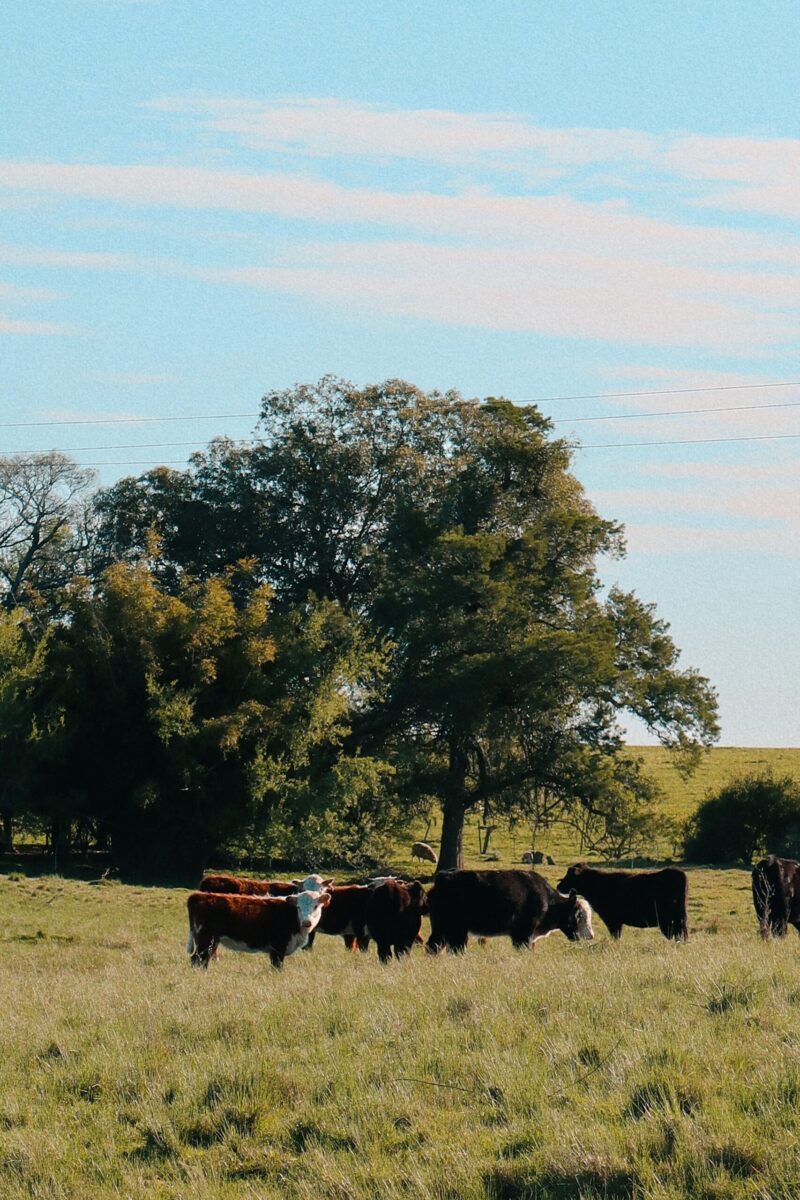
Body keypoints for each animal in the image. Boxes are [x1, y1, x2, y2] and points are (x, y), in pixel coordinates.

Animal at [186, 888, 330, 969]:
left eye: (316, 906)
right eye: (298, 907)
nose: (307, 922)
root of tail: (199, 895)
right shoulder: (278, 948)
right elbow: (277, 967)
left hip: (212, 942)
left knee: (203, 960)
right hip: (205, 939)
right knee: (197, 959)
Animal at [426, 869, 593, 953]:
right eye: (579, 915)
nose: (591, 936)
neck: (547, 900)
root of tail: (443, 878)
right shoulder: (523, 934)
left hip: (442, 928)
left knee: (433, 946)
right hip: (456, 929)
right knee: (455, 948)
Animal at [558, 864, 688, 941]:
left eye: (569, 876)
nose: (558, 886)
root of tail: (678, 873)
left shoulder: (612, 920)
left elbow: (615, 935)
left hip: (669, 920)